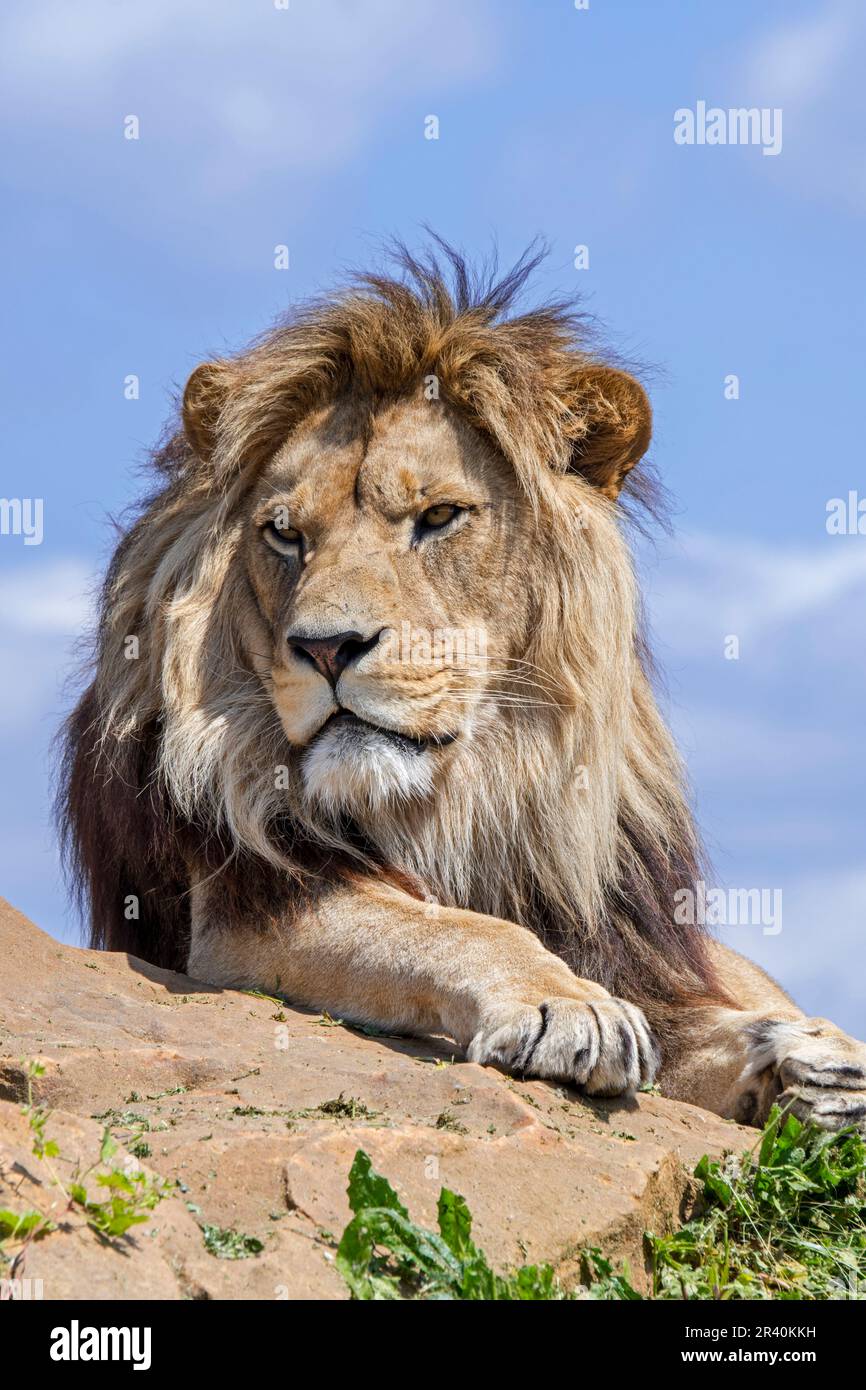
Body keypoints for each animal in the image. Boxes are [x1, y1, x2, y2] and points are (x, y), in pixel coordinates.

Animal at [61, 241, 866, 1128]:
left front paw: (794, 1058)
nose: (327, 648)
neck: (463, 798)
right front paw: (565, 1006)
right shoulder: (242, 915)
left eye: (440, 517)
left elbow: (697, 1020)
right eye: (283, 534)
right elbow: (452, 928)